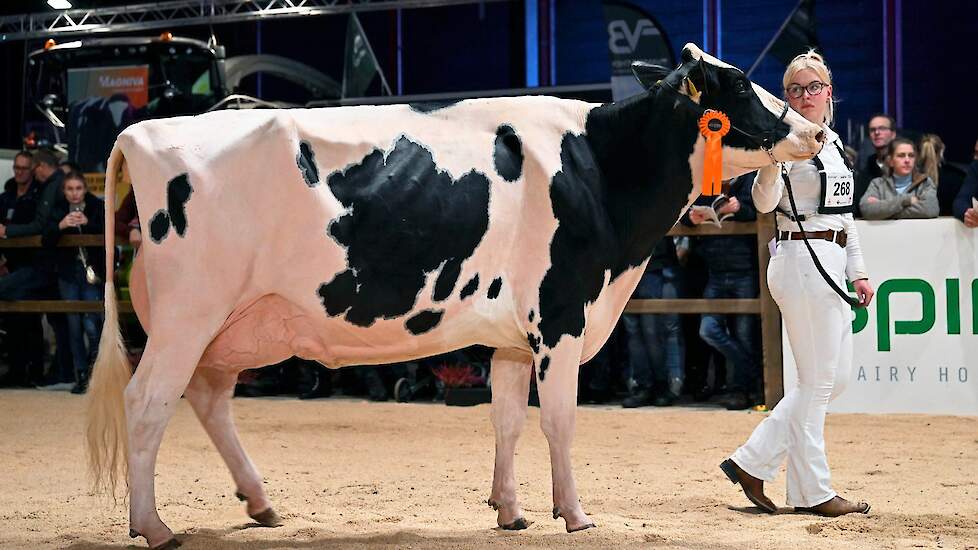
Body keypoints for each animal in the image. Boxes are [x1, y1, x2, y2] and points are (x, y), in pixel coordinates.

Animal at [86, 44, 824, 550]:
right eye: (739, 85)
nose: (816, 131)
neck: (600, 166)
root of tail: (144, 132)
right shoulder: (561, 318)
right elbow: (559, 421)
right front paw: (574, 514)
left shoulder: (514, 336)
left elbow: (507, 419)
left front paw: (510, 510)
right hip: (189, 315)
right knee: (147, 403)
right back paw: (154, 525)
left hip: (233, 324)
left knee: (208, 398)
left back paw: (261, 503)